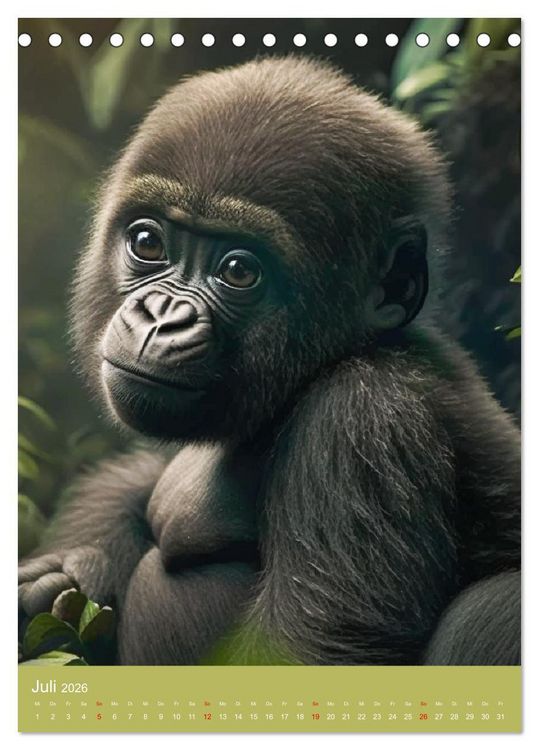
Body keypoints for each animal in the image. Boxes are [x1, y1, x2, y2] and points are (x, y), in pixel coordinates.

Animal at [18, 56, 520, 666]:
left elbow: (300, 653)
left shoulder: (363, 417)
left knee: (491, 609)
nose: (160, 317)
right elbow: (133, 481)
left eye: (238, 270)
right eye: (147, 242)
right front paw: (59, 579)